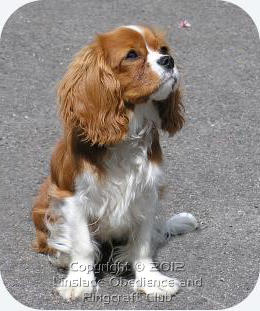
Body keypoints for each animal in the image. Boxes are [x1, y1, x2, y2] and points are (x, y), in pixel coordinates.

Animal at [32, 25, 198, 302]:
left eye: (163, 49)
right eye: (132, 55)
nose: (169, 60)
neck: (126, 135)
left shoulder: (147, 193)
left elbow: (143, 244)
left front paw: (150, 280)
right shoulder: (72, 197)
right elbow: (83, 245)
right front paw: (80, 282)